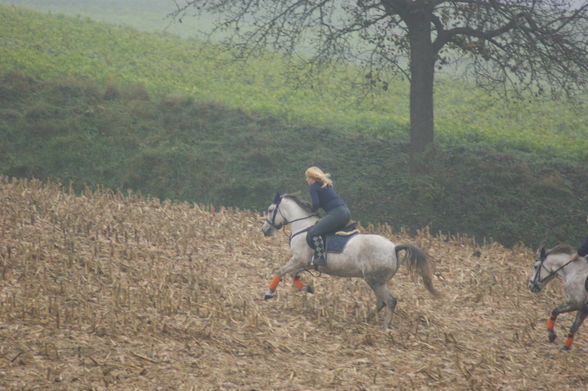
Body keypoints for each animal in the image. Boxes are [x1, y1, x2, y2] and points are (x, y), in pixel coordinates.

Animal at [260, 194, 438, 330]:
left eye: (270, 210)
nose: (264, 230)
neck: (302, 226)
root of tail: (394, 247)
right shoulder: (303, 263)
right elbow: (292, 275)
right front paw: (307, 288)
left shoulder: (299, 260)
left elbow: (281, 271)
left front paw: (269, 293)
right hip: (375, 281)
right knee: (381, 302)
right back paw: (365, 319)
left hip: (375, 281)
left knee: (390, 301)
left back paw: (384, 326)